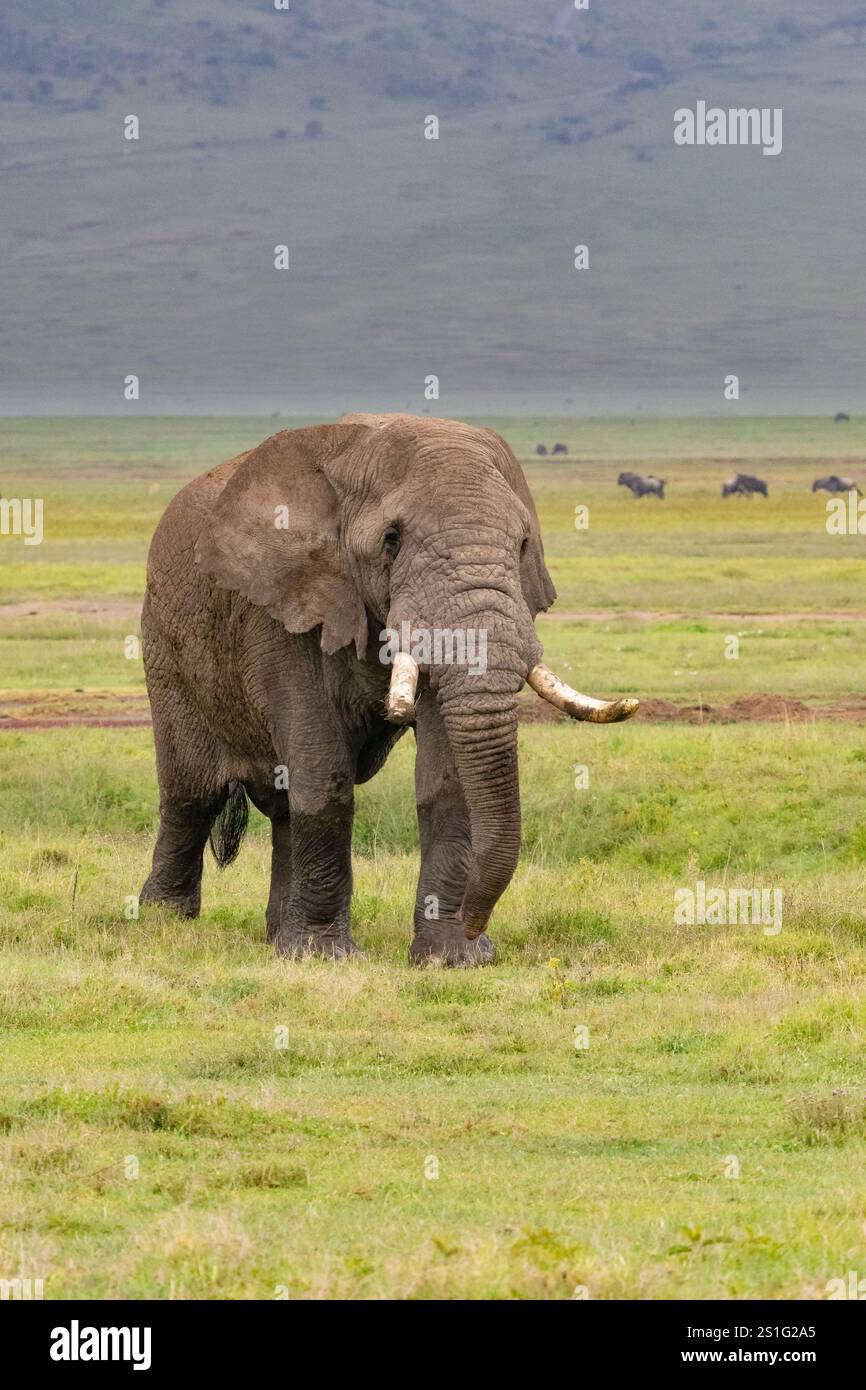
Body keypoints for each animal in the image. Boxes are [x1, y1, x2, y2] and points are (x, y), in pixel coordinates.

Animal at [139, 416, 638, 967]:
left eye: (524, 542)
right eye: (392, 539)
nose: (476, 926)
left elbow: (447, 782)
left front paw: (451, 959)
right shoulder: (284, 605)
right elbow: (324, 773)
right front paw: (326, 958)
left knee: (281, 802)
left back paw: (277, 939)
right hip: (163, 645)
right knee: (192, 794)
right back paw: (164, 921)